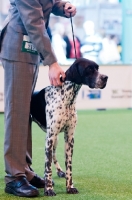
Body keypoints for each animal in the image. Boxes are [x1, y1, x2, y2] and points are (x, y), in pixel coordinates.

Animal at [30, 57, 108, 195]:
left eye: (97, 68)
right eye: (89, 69)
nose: (105, 78)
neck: (66, 97)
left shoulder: (69, 138)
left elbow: (69, 166)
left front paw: (70, 186)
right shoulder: (50, 138)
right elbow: (47, 166)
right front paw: (48, 189)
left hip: (55, 139)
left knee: (54, 156)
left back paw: (59, 171)